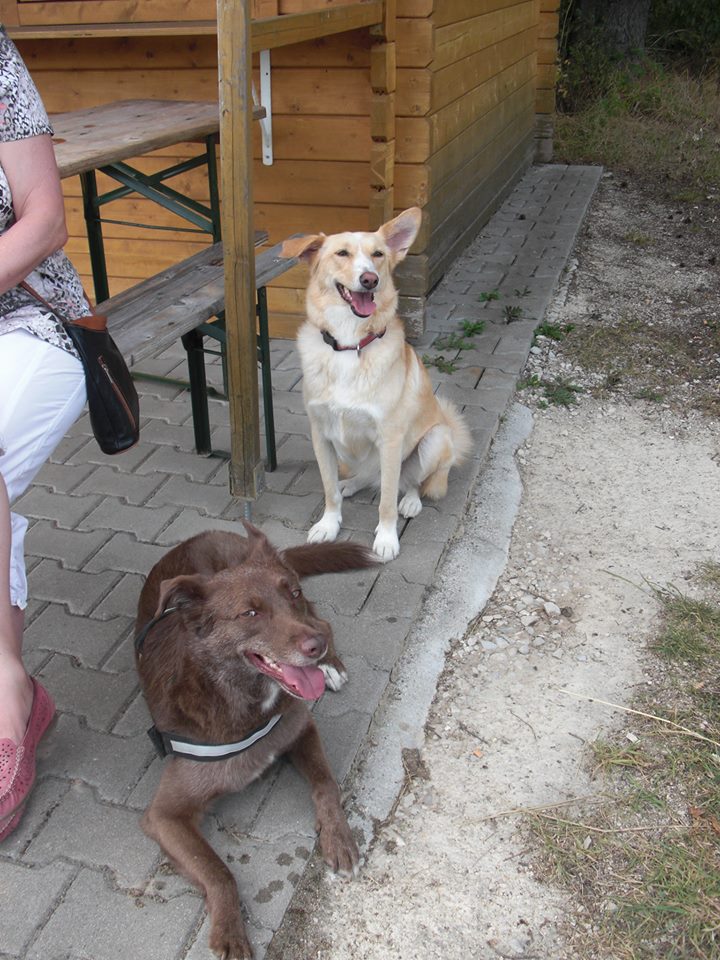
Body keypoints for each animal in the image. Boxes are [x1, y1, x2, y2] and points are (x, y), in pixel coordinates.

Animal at [134, 523, 378, 960]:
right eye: (250, 613)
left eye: (291, 593)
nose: (313, 647)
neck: (245, 700)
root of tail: (209, 533)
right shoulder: (164, 815)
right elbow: (217, 869)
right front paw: (231, 931)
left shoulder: (300, 728)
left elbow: (327, 785)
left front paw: (339, 837)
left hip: (312, 618)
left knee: (325, 621)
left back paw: (331, 665)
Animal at [282, 208, 472, 561]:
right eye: (342, 253)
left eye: (378, 255)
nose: (370, 279)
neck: (349, 345)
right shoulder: (320, 435)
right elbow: (329, 490)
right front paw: (329, 525)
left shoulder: (391, 438)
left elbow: (386, 502)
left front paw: (386, 538)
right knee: (371, 477)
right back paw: (351, 484)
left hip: (434, 439)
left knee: (408, 482)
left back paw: (411, 501)